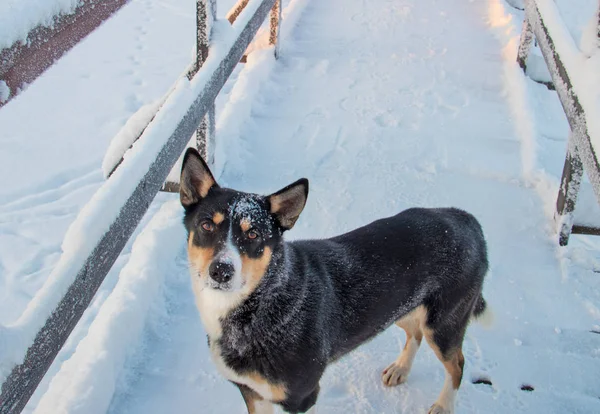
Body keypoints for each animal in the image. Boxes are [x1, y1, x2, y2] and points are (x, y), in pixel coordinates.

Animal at [180, 147, 490, 412]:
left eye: (253, 234)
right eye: (206, 225)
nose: (221, 270)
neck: (262, 304)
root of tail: (466, 218)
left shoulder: (302, 396)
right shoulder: (252, 393)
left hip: (443, 324)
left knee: (457, 364)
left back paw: (443, 405)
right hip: (399, 308)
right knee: (414, 331)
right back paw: (400, 368)